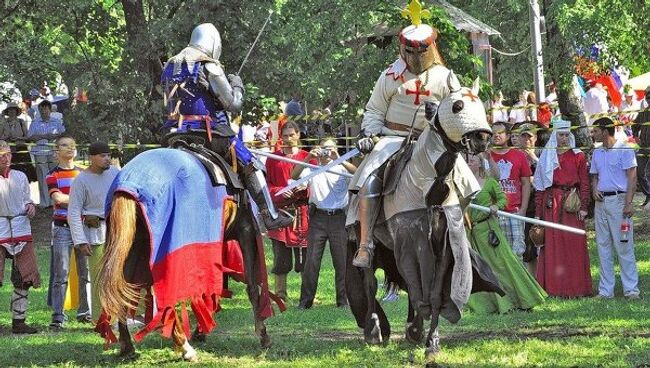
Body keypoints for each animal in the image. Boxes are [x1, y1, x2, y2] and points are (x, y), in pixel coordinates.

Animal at [97, 147, 274, 360]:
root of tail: (128, 183)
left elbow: (213, 290)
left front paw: (201, 331)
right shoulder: (245, 231)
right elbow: (252, 286)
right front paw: (263, 334)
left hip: (132, 247)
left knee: (121, 291)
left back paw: (127, 346)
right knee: (164, 298)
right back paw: (185, 347)